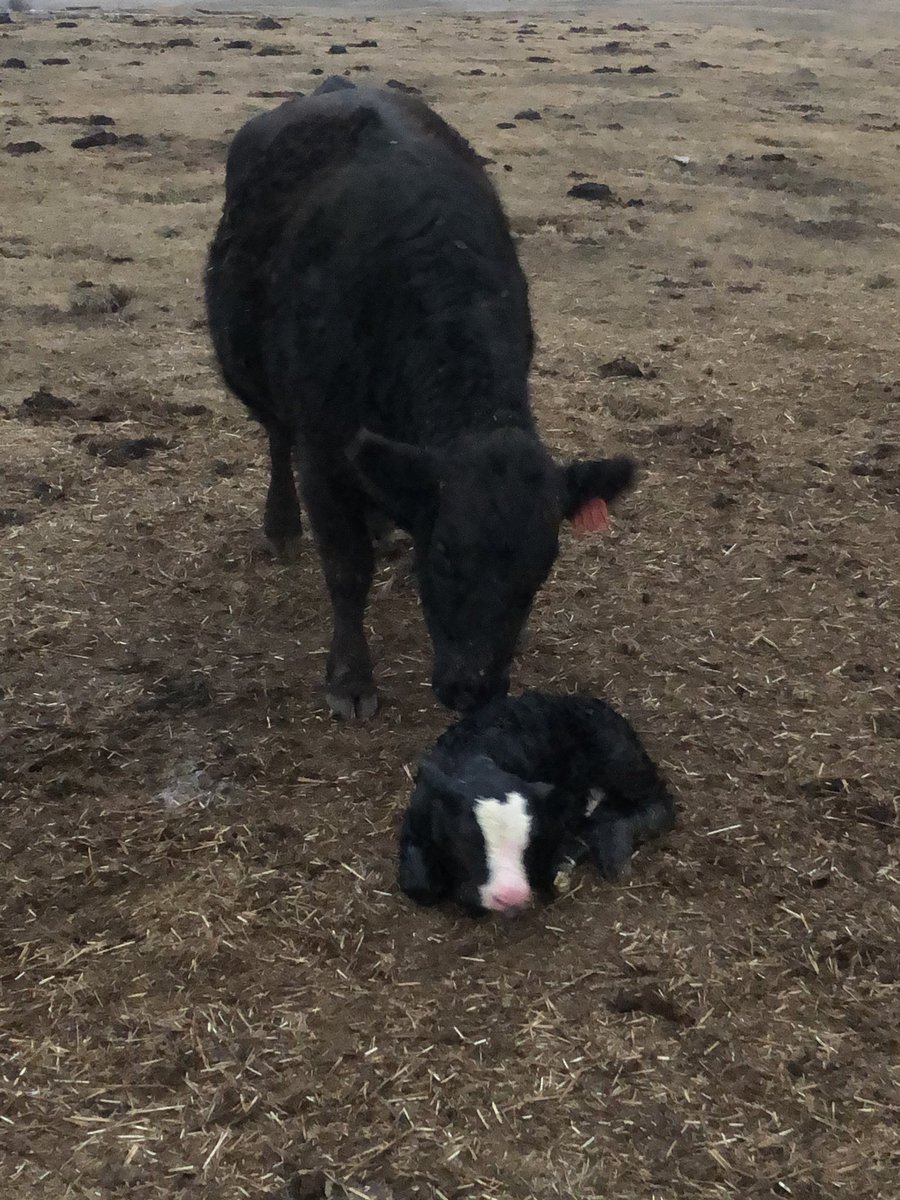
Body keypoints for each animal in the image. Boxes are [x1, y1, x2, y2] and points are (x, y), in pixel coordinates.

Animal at [205, 78, 635, 719]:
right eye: (449, 554)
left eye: (539, 570)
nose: (474, 689)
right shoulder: (322, 447)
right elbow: (346, 569)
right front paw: (351, 680)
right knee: (276, 440)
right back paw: (281, 527)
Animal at [397, 691, 675, 915]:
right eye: (466, 839)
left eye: (530, 839)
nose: (511, 895)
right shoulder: (415, 824)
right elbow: (420, 886)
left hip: (620, 760)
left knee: (659, 805)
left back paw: (614, 852)